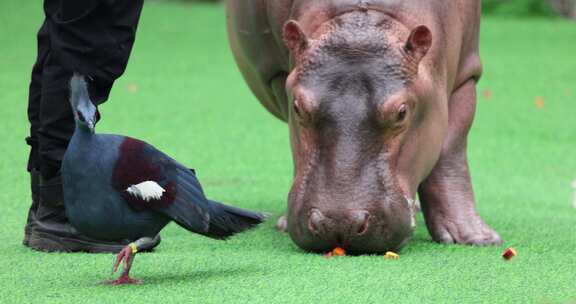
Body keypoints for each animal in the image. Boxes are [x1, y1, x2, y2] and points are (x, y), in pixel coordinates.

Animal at [227, 0, 502, 253]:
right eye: (297, 106)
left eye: (402, 112)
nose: (338, 223)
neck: (361, 26)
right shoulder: (277, 75)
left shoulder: (466, 75)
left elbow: (451, 150)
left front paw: (477, 238)